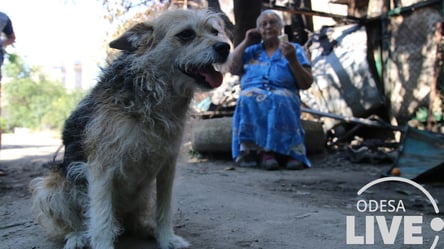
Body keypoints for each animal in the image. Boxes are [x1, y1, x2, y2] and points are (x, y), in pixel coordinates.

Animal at [29, 8, 231, 249]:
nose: (225, 47)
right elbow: (102, 218)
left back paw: (146, 229)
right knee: (72, 223)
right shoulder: (100, 168)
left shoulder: (167, 166)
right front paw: (102, 244)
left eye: (214, 31)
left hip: (143, 194)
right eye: (185, 34)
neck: (153, 97)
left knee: (132, 221)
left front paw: (167, 238)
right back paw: (77, 236)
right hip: (51, 187)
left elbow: (164, 210)